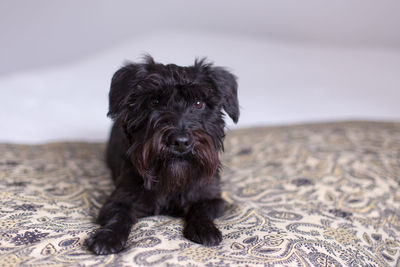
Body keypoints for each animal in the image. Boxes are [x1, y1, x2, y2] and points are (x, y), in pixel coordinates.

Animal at [86, 56, 239, 255]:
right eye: (154, 102)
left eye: (198, 103)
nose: (180, 141)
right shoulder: (119, 198)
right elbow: (119, 215)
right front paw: (108, 237)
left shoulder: (211, 197)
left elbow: (201, 210)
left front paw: (205, 229)